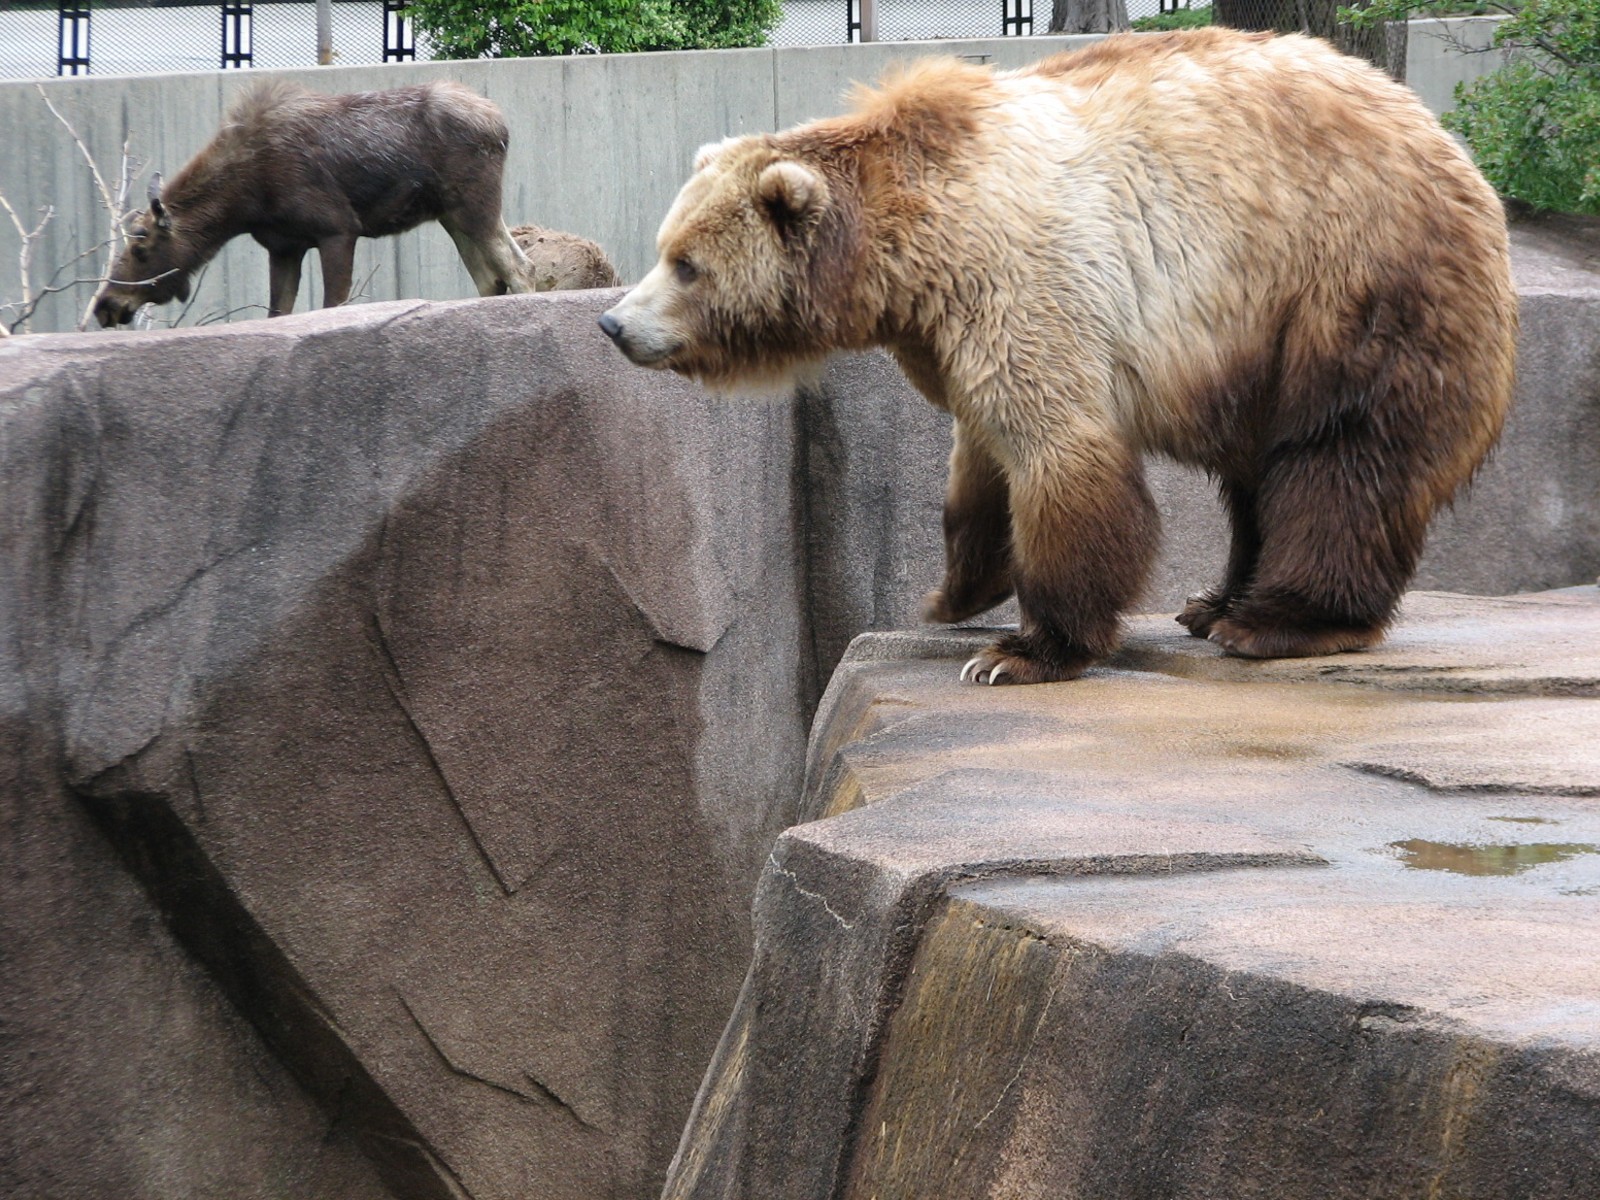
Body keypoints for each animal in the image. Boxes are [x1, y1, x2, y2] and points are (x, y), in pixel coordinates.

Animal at [94, 79, 536, 326]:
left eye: (140, 247)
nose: (105, 305)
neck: (244, 203)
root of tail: (502, 126)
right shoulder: (284, 247)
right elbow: (278, 314)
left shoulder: (337, 228)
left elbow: (331, 306)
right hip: (452, 215)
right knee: (493, 277)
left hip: (475, 206)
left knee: (519, 268)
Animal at [599, 28, 1517, 685]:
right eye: (664, 246)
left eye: (686, 263)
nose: (613, 324)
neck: (907, 253)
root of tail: (1453, 146)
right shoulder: (951, 330)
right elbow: (978, 459)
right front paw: (951, 592)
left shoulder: (1026, 281)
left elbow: (1058, 453)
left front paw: (1020, 651)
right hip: (1263, 346)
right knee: (1259, 476)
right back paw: (1211, 599)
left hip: (1353, 289)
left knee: (1342, 459)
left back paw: (1276, 619)